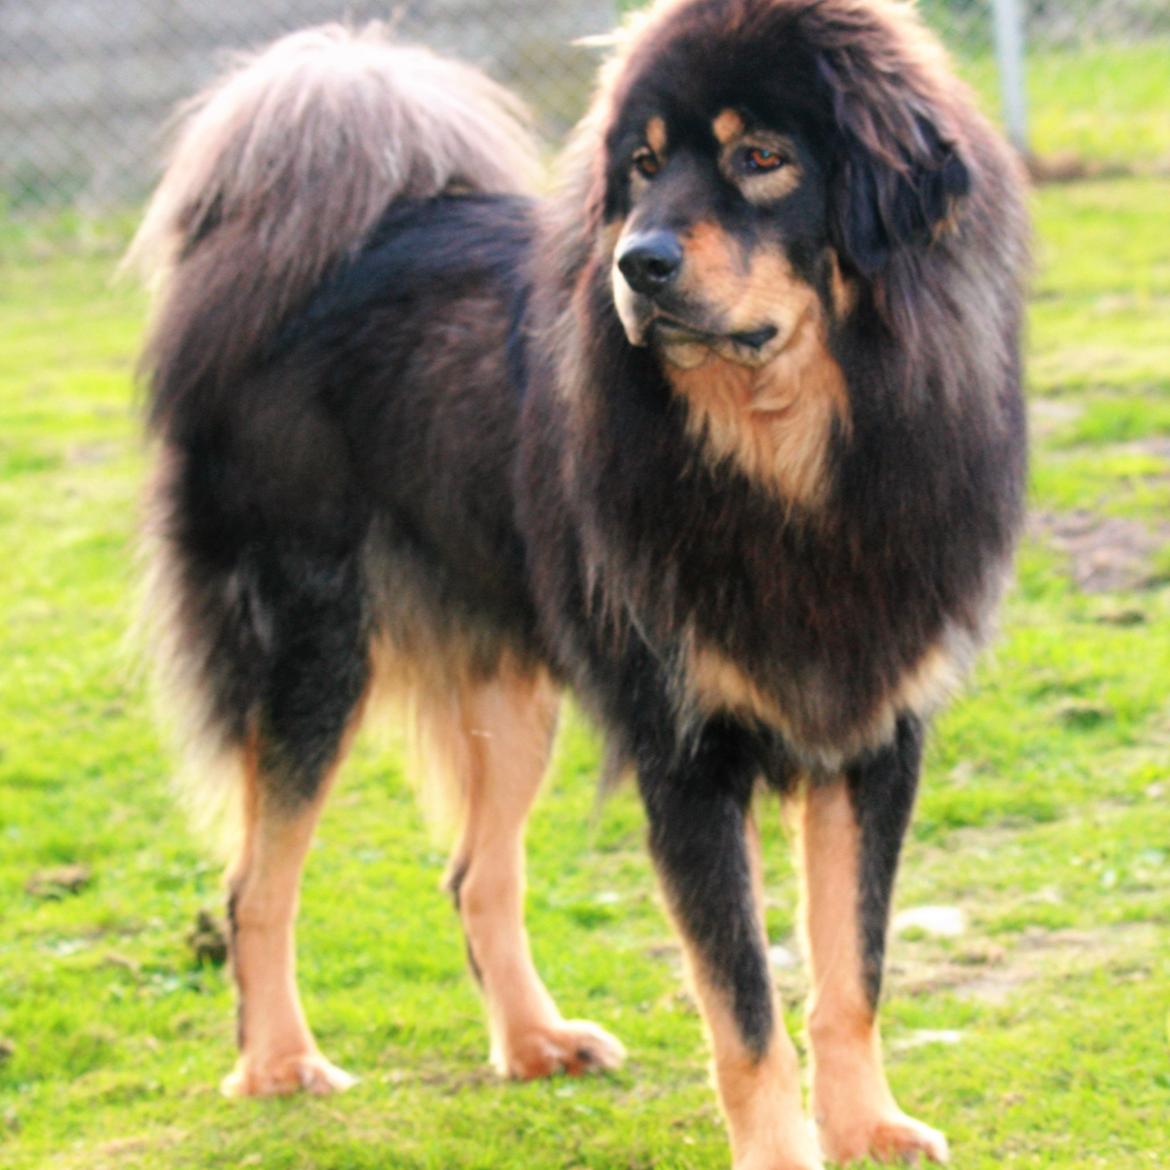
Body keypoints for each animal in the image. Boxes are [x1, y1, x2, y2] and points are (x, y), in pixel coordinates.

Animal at [128, 4, 1024, 1165]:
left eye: (761, 158)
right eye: (642, 166)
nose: (637, 264)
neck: (785, 463)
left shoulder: (871, 735)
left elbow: (851, 971)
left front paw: (867, 1127)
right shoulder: (686, 756)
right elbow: (745, 1012)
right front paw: (786, 1148)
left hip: (512, 691)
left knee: (476, 874)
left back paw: (533, 1043)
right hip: (313, 654)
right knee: (255, 884)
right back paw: (279, 1062)